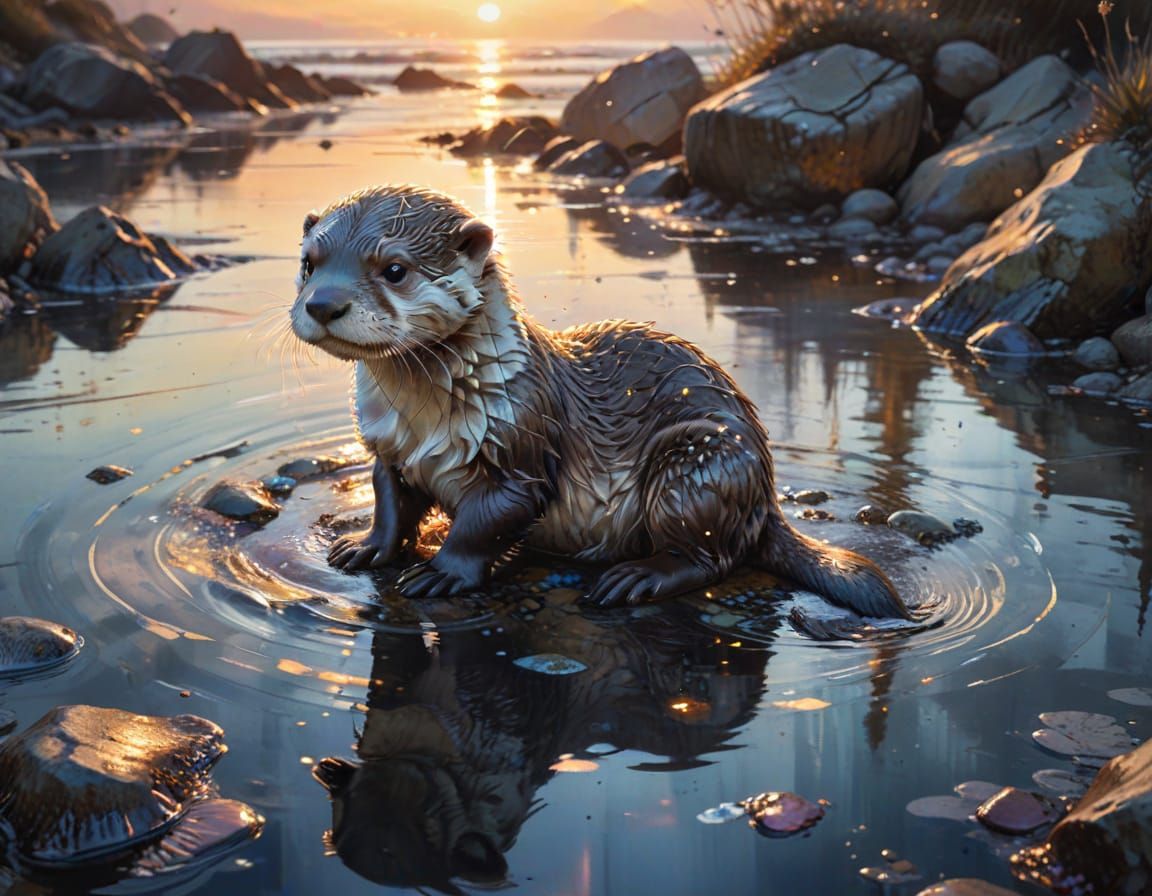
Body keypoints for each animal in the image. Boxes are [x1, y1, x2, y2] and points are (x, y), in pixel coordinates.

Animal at [289, 185, 911, 618]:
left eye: (395, 270)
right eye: (309, 264)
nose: (322, 303)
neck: (424, 423)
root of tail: (765, 491)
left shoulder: (522, 444)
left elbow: (486, 522)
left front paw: (442, 571)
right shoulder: (389, 448)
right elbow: (390, 504)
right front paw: (364, 548)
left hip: (701, 462)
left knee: (711, 557)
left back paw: (638, 577)